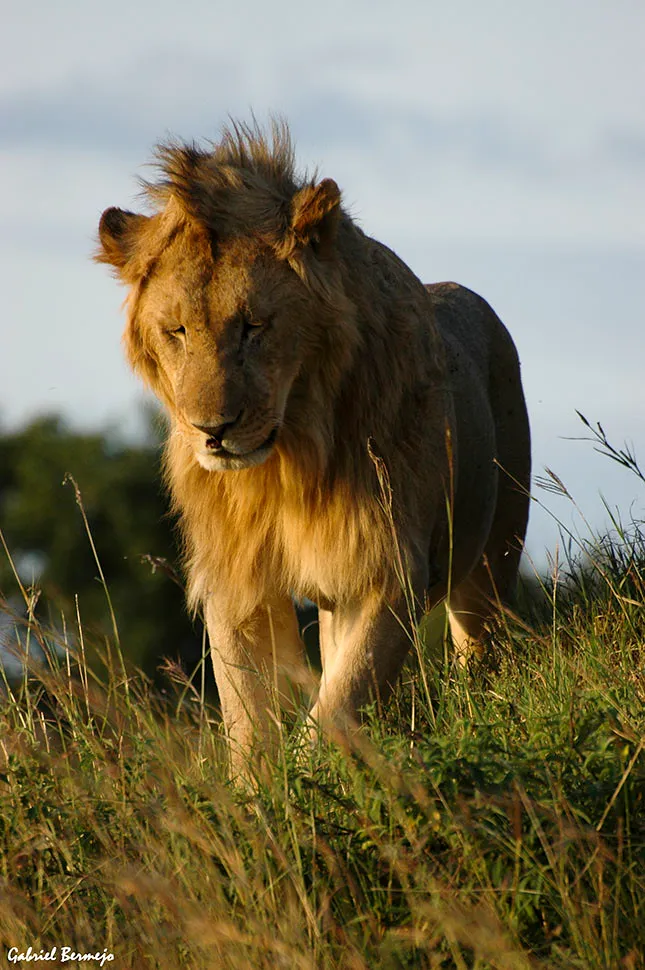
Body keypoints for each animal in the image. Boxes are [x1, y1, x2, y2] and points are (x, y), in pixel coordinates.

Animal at [94, 119, 528, 780]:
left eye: (253, 326)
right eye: (178, 331)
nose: (213, 429)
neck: (285, 460)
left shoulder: (389, 568)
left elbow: (337, 705)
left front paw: (310, 778)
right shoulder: (238, 582)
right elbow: (250, 717)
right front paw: (261, 795)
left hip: (492, 560)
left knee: (481, 652)